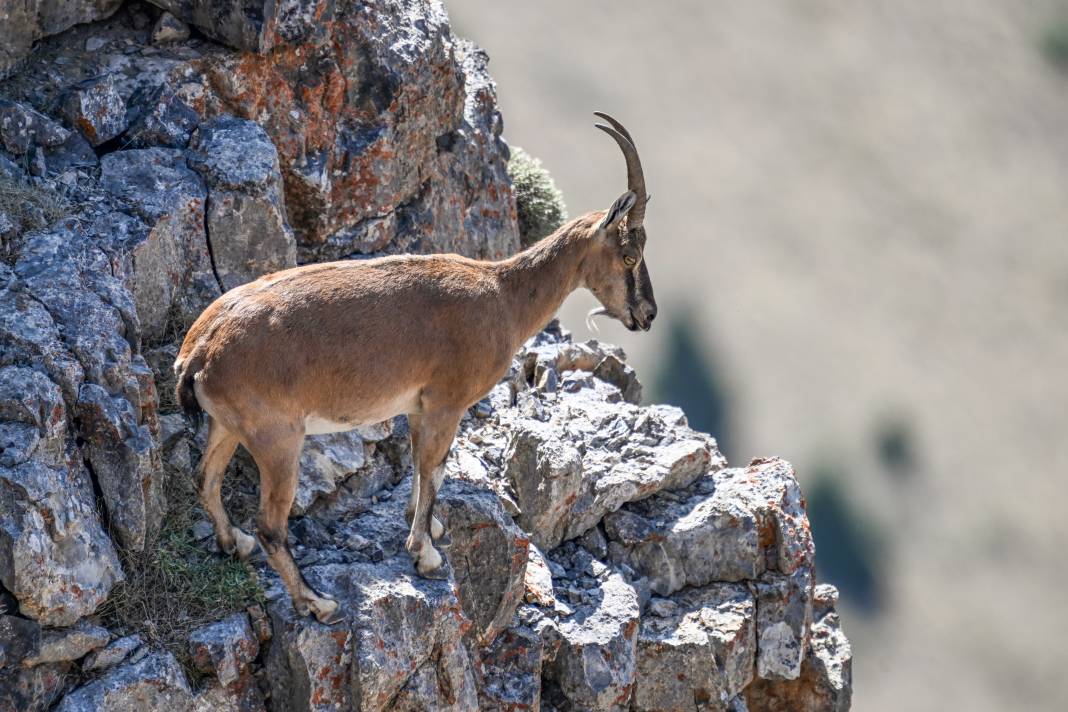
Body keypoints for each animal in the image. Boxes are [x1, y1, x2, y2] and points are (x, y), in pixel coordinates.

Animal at [174, 112, 653, 623]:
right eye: (629, 255)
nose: (647, 315)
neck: (503, 296)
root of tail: (200, 351)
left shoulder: (419, 407)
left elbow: (423, 469)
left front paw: (426, 528)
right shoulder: (447, 403)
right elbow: (434, 467)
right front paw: (425, 555)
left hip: (228, 426)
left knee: (205, 479)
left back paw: (235, 543)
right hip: (278, 439)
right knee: (271, 526)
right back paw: (317, 602)